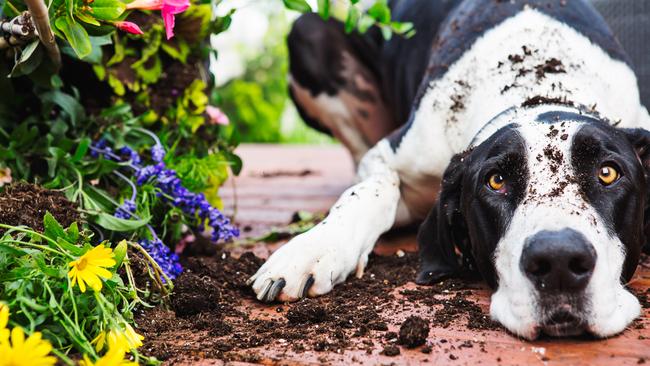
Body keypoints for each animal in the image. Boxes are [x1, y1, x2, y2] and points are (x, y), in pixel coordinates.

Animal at [247, 0, 648, 338]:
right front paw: (313, 249)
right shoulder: (390, 157)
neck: (539, 85)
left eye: (608, 172)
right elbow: (370, 191)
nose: (559, 260)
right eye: (496, 181)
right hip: (308, 32)